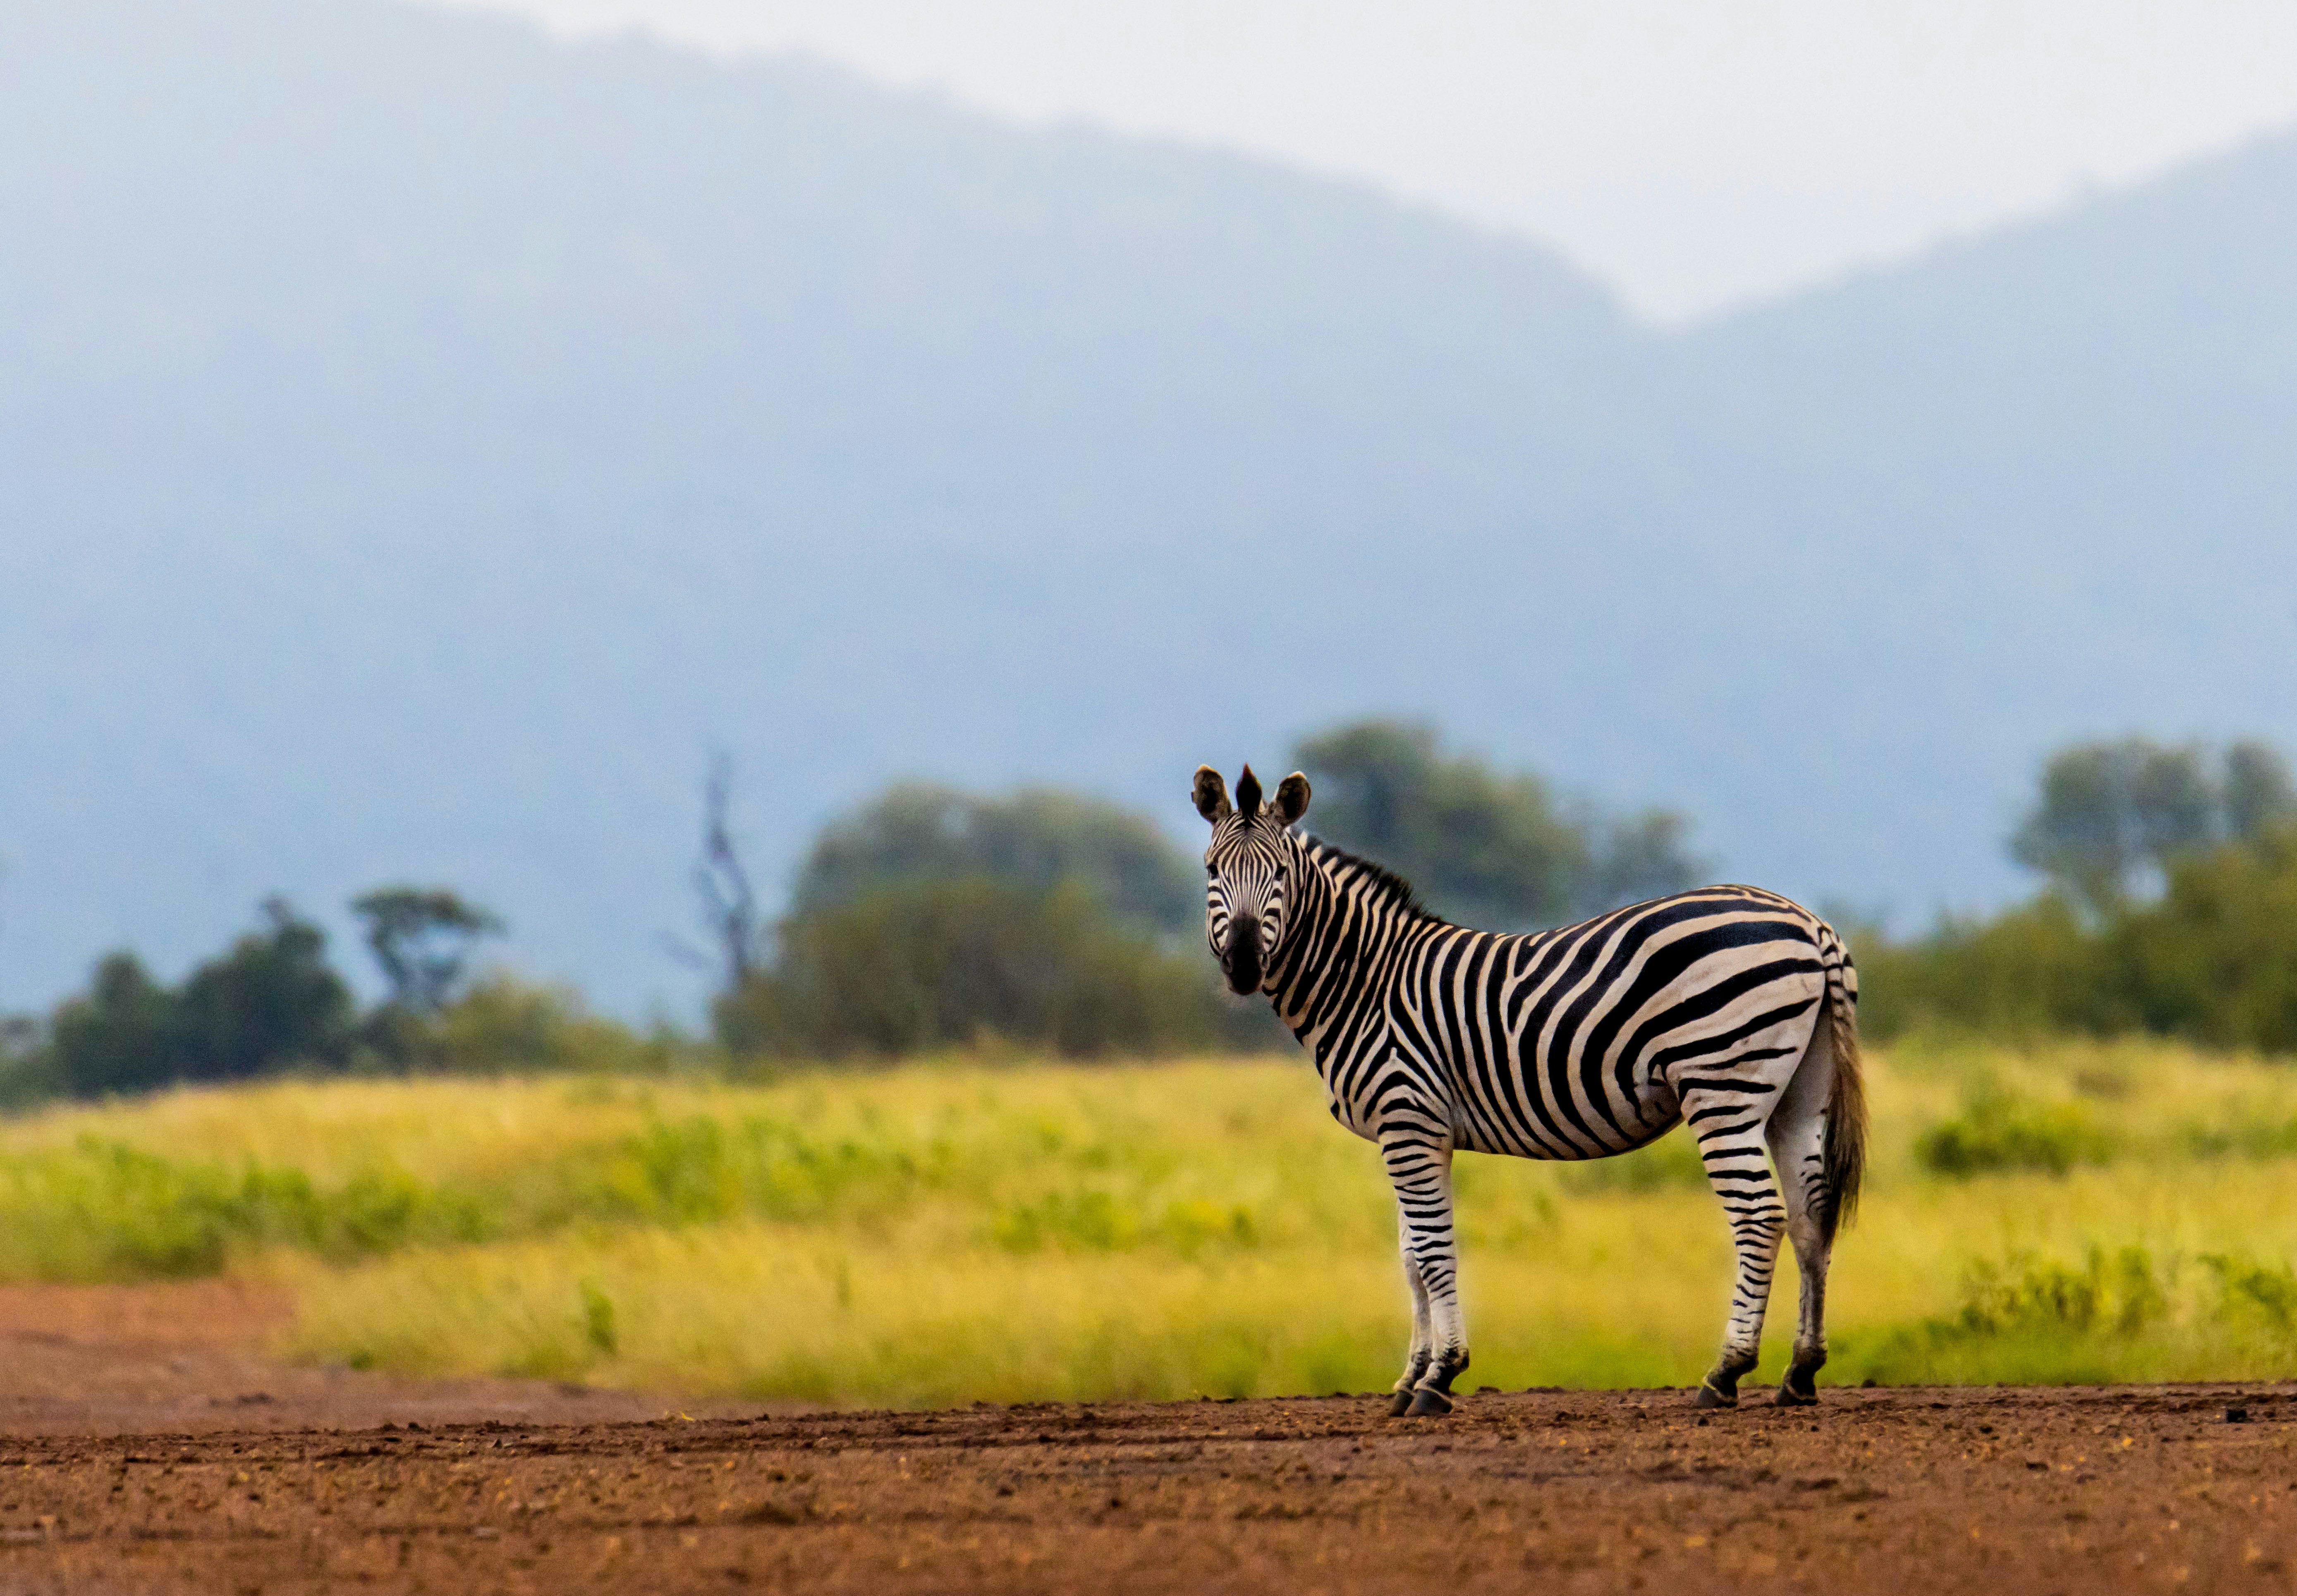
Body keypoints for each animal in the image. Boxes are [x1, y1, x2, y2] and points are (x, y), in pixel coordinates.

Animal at [1192, 763, 1867, 1416]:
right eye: (1211, 870)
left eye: (1280, 874)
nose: (1244, 964)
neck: (1365, 981)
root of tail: (1809, 924)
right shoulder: (1405, 1132)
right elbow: (1409, 1258)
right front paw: (1409, 1379)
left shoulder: (1409, 1118)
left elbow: (1432, 1251)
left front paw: (1441, 1376)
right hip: (1797, 1097)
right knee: (1810, 1217)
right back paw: (1800, 1373)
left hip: (1721, 1087)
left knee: (1759, 1218)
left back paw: (1725, 1372)